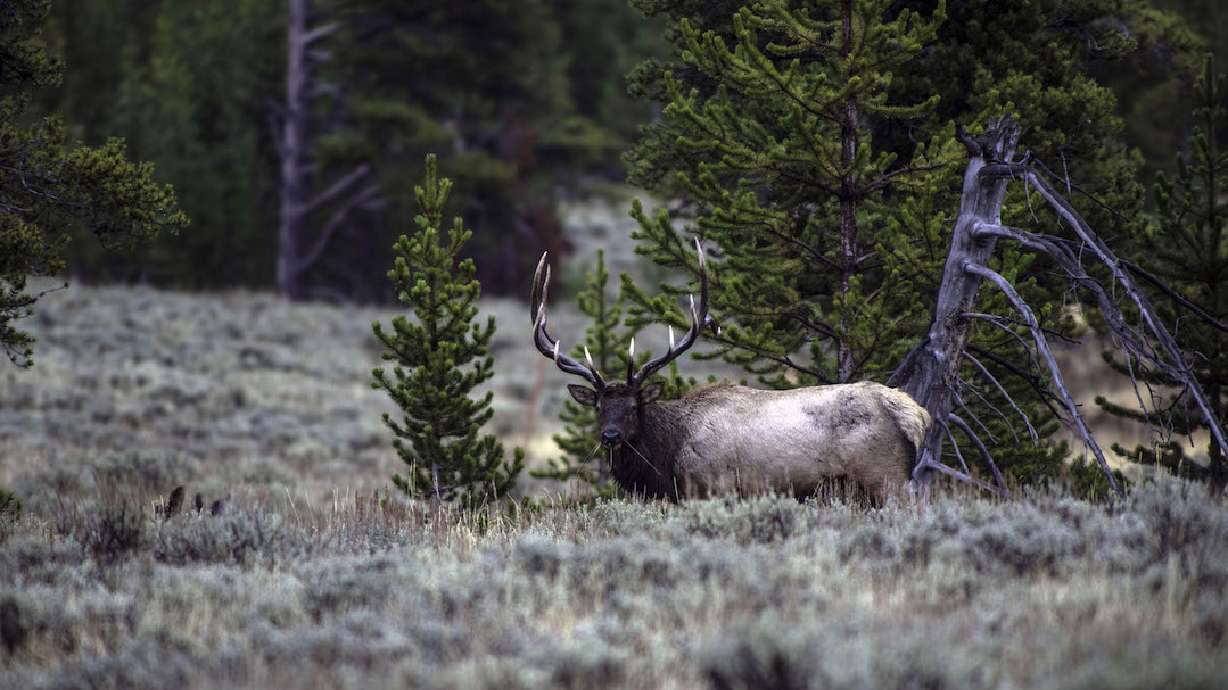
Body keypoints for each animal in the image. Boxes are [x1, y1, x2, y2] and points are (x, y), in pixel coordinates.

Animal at [530, 239, 932, 503]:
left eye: (633, 406)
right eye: (599, 406)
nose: (610, 436)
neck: (667, 459)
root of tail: (915, 414)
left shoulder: (714, 488)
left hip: (885, 477)